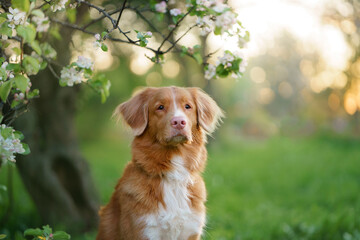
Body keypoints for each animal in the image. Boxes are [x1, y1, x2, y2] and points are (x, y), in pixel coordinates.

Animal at [97, 86, 224, 240]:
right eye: (160, 107)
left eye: (188, 106)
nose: (179, 121)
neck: (173, 175)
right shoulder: (144, 230)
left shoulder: (191, 230)